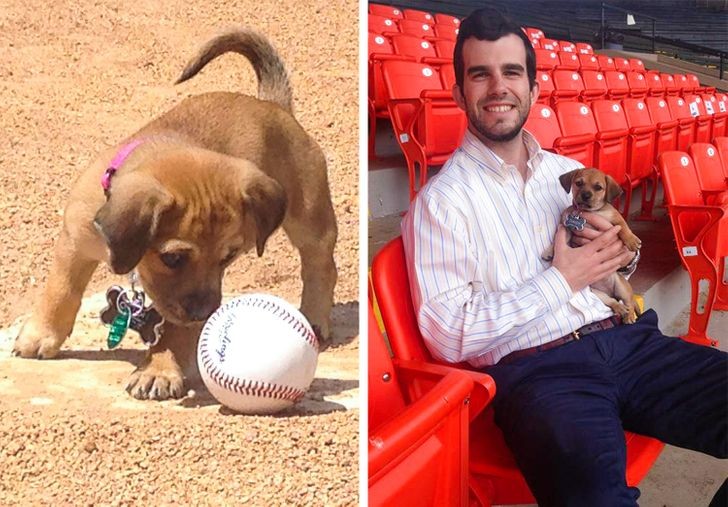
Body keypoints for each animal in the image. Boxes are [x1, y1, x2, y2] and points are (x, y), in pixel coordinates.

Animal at [12, 26, 338, 400]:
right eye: (172, 259)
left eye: (229, 257)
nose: (204, 313)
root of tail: (273, 104)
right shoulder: (75, 243)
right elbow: (61, 290)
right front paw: (40, 335)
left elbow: (173, 330)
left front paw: (159, 370)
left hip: (308, 217)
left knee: (321, 264)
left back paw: (315, 316)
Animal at [544, 169, 640, 324]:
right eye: (578, 183)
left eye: (598, 187)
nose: (586, 195)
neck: (590, 212)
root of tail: (610, 291)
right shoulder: (568, 229)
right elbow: (557, 238)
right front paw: (549, 250)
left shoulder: (616, 219)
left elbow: (623, 228)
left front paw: (631, 240)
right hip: (598, 293)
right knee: (613, 302)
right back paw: (620, 309)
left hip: (621, 288)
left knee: (629, 303)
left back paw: (629, 316)